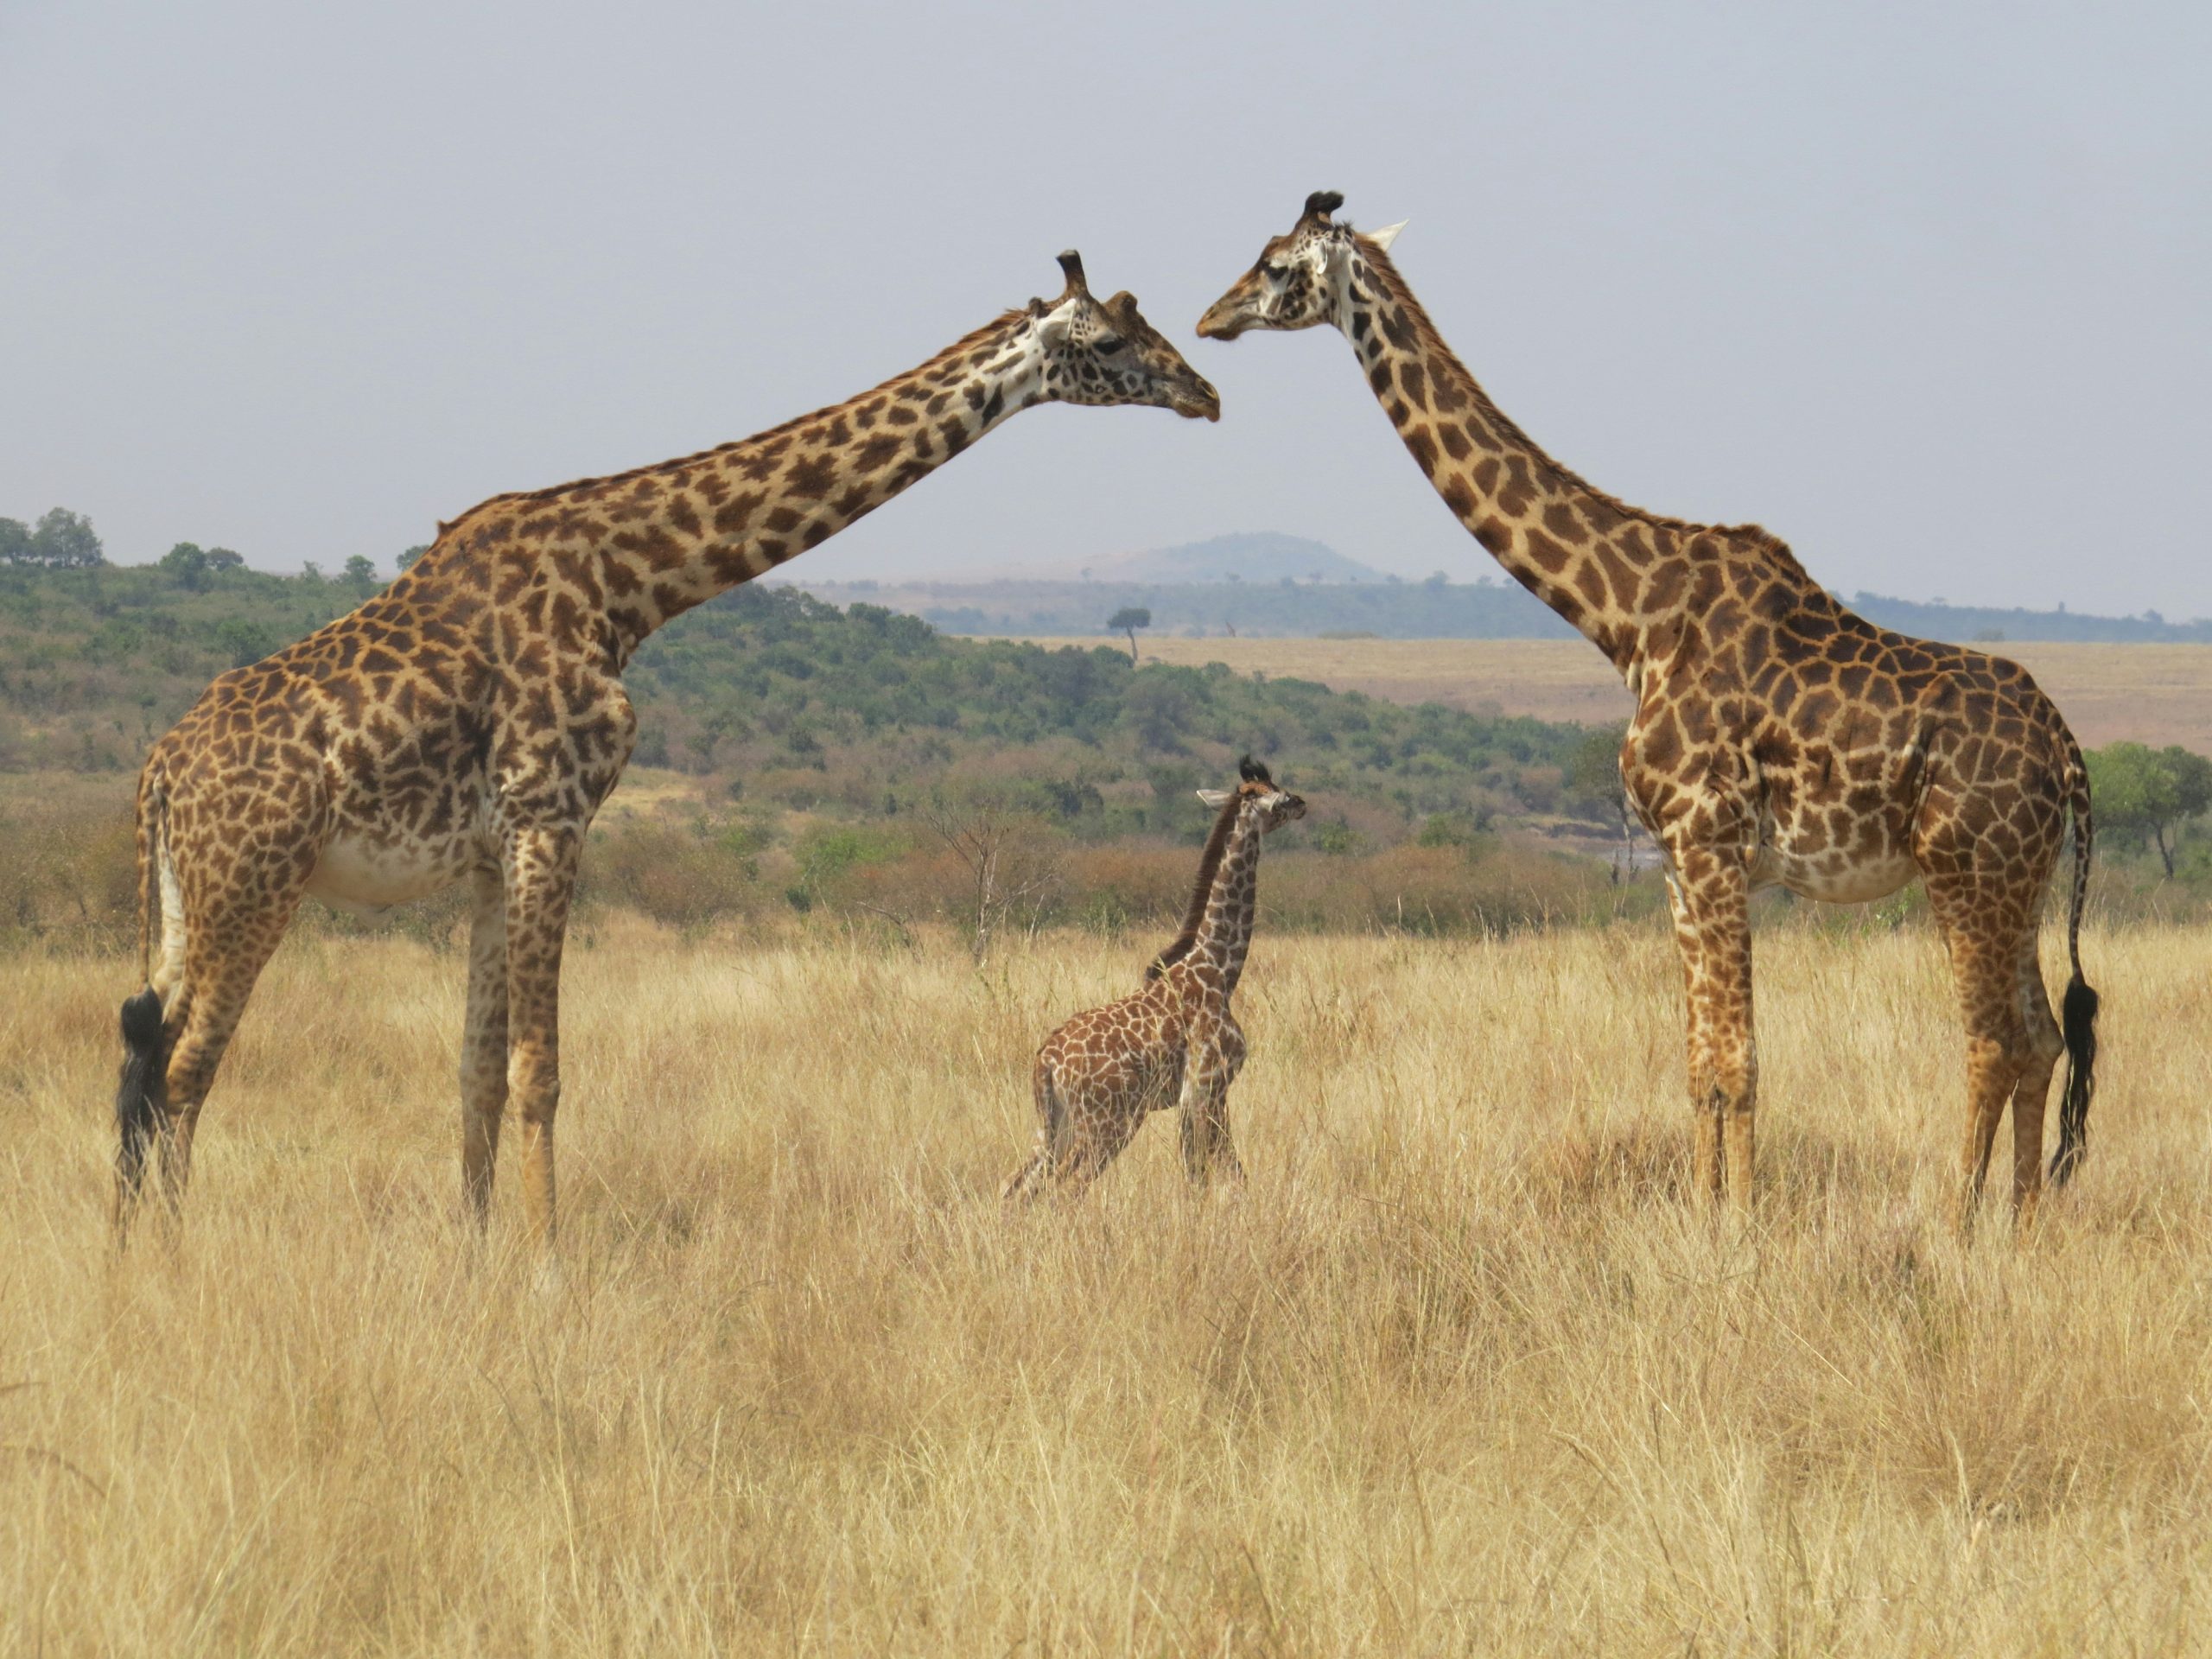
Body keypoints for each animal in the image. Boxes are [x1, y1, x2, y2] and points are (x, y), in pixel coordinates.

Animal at [111, 252, 1221, 1242]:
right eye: (1111, 341)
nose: (1203, 390)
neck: (627, 583)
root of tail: (161, 777)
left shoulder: (491, 853)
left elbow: (475, 1071)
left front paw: (475, 1258)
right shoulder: (552, 818)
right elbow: (539, 1071)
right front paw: (547, 1270)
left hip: (182, 901)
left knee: (141, 1049)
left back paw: (128, 1252)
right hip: (255, 885)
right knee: (186, 1068)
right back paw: (174, 1257)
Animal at [1004, 757, 1305, 1200]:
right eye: (1278, 796)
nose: (1303, 803)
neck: (1220, 970)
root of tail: (1045, 1062)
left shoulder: (1190, 1098)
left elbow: (1197, 1173)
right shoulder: (1208, 1087)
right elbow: (1229, 1171)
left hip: (1054, 1127)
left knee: (1016, 1187)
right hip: (1109, 1122)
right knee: (1065, 1189)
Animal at [1198, 193, 2099, 1225]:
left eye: (1274, 265)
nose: (1211, 318)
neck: (1629, 619)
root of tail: (2068, 752)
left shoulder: (1710, 844)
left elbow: (1741, 1061)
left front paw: (1741, 1226)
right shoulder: (1675, 861)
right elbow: (1700, 1063)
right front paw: (1705, 1216)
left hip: (1965, 872)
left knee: (1993, 1041)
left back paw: (1955, 1224)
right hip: (2022, 879)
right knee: (2043, 1037)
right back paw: (2022, 1223)